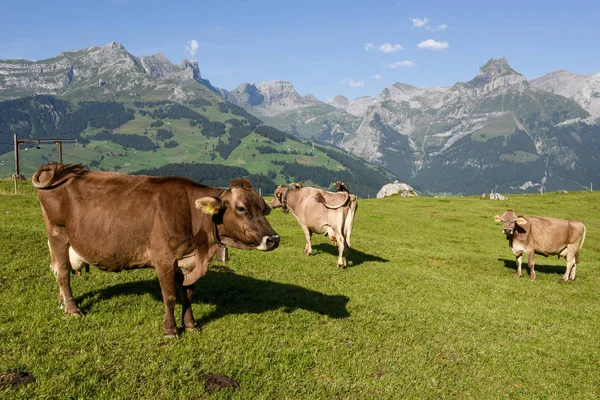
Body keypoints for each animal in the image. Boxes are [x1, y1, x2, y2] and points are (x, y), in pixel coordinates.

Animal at [30, 164, 278, 336]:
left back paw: (63, 302)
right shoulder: (164, 259)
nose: (273, 239)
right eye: (241, 208)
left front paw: (191, 324)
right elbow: (170, 296)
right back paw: (73, 309)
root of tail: (58, 168)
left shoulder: (188, 261)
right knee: (63, 273)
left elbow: (188, 295)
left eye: (263, 208)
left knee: (57, 270)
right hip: (58, 234)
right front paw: (171, 330)